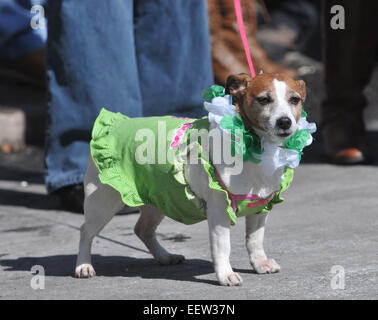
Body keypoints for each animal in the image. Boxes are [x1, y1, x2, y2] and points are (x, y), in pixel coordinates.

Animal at [74, 73, 308, 288]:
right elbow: (223, 246)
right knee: (86, 231)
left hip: (157, 196)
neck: (255, 146)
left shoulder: (260, 206)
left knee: (143, 229)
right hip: (103, 202)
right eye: (264, 99)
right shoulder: (219, 211)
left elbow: (255, 240)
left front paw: (260, 263)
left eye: (295, 99)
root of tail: (114, 126)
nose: (284, 121)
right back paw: (83, 265)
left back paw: (164, 257)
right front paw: (225, 274)